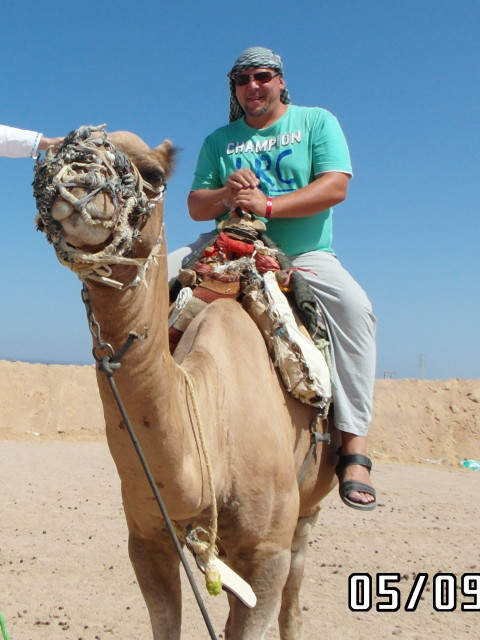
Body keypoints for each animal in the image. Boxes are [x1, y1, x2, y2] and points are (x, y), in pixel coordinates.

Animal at [33, 126, 340, 640]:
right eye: (50, 155)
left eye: (154, 173)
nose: (76, 179)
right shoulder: (147, 542)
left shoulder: (267, 556)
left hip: (307, 512)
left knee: (294, 595)